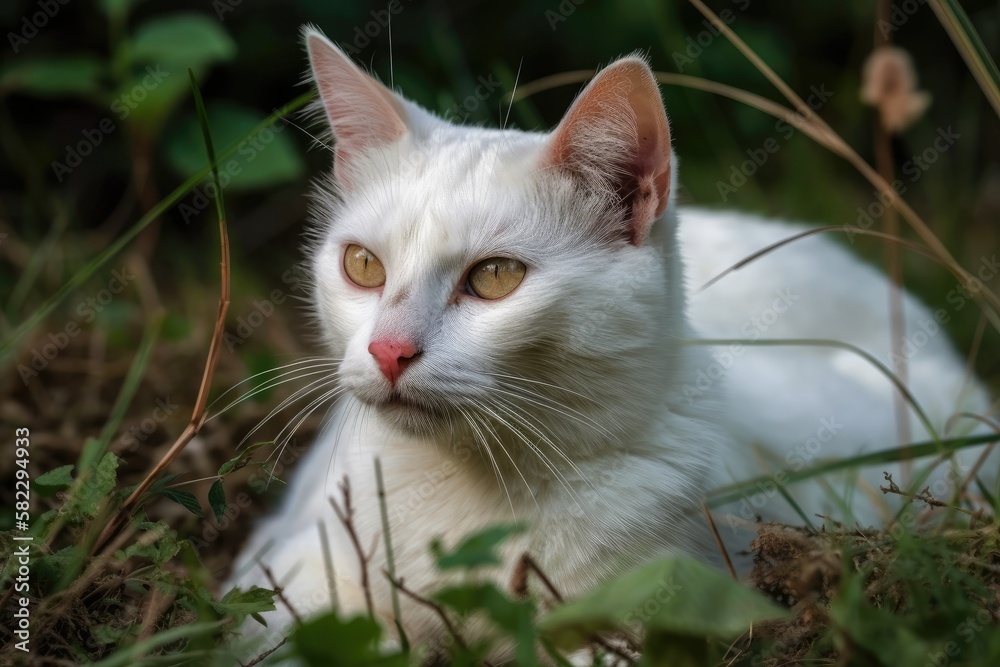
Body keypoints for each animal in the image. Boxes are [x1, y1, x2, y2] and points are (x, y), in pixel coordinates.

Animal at [227, 27, 992, 664]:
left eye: (496, 276)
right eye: (362, 266)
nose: (388, 350)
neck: (475, 486)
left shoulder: (657, 608)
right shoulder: (283, 580)